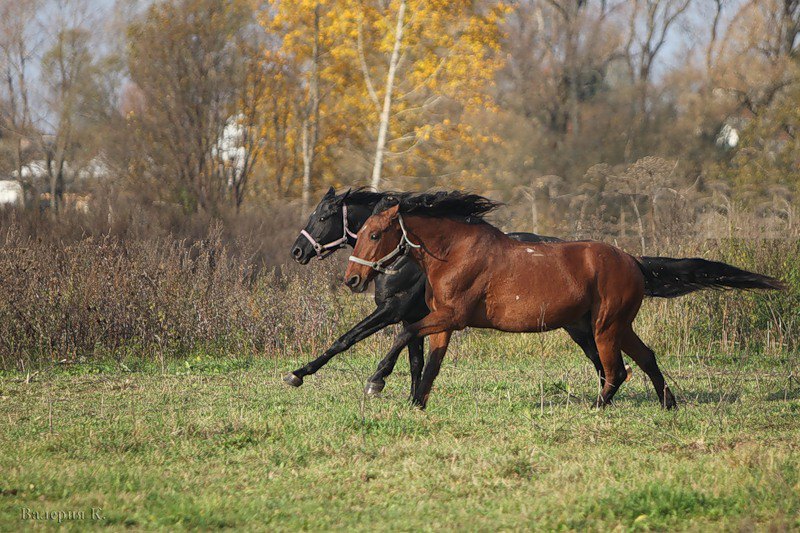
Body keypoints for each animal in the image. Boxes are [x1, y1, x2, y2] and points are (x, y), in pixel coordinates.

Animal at [284, 188, 604, 400]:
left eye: (323, 217)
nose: (297, 251)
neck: (406, 258)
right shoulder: (410, 318)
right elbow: (415, 361)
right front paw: (413, 397)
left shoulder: (392, 311)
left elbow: (346, 339)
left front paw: (299, 373)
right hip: (576, 325)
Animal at [344, 191, 780, 408]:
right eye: (359, 232)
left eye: (375, 233)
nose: (352, 279)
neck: (454, 252)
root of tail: (633, 261)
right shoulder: (444, 320)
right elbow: (431, 364)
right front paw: (416, 404)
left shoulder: (454, 315)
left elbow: (403, 335)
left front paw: (376, 382)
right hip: (614, 326)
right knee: (646, 358)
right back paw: (668, 404)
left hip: (604, 326)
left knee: (617, 370)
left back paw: (597, 407)